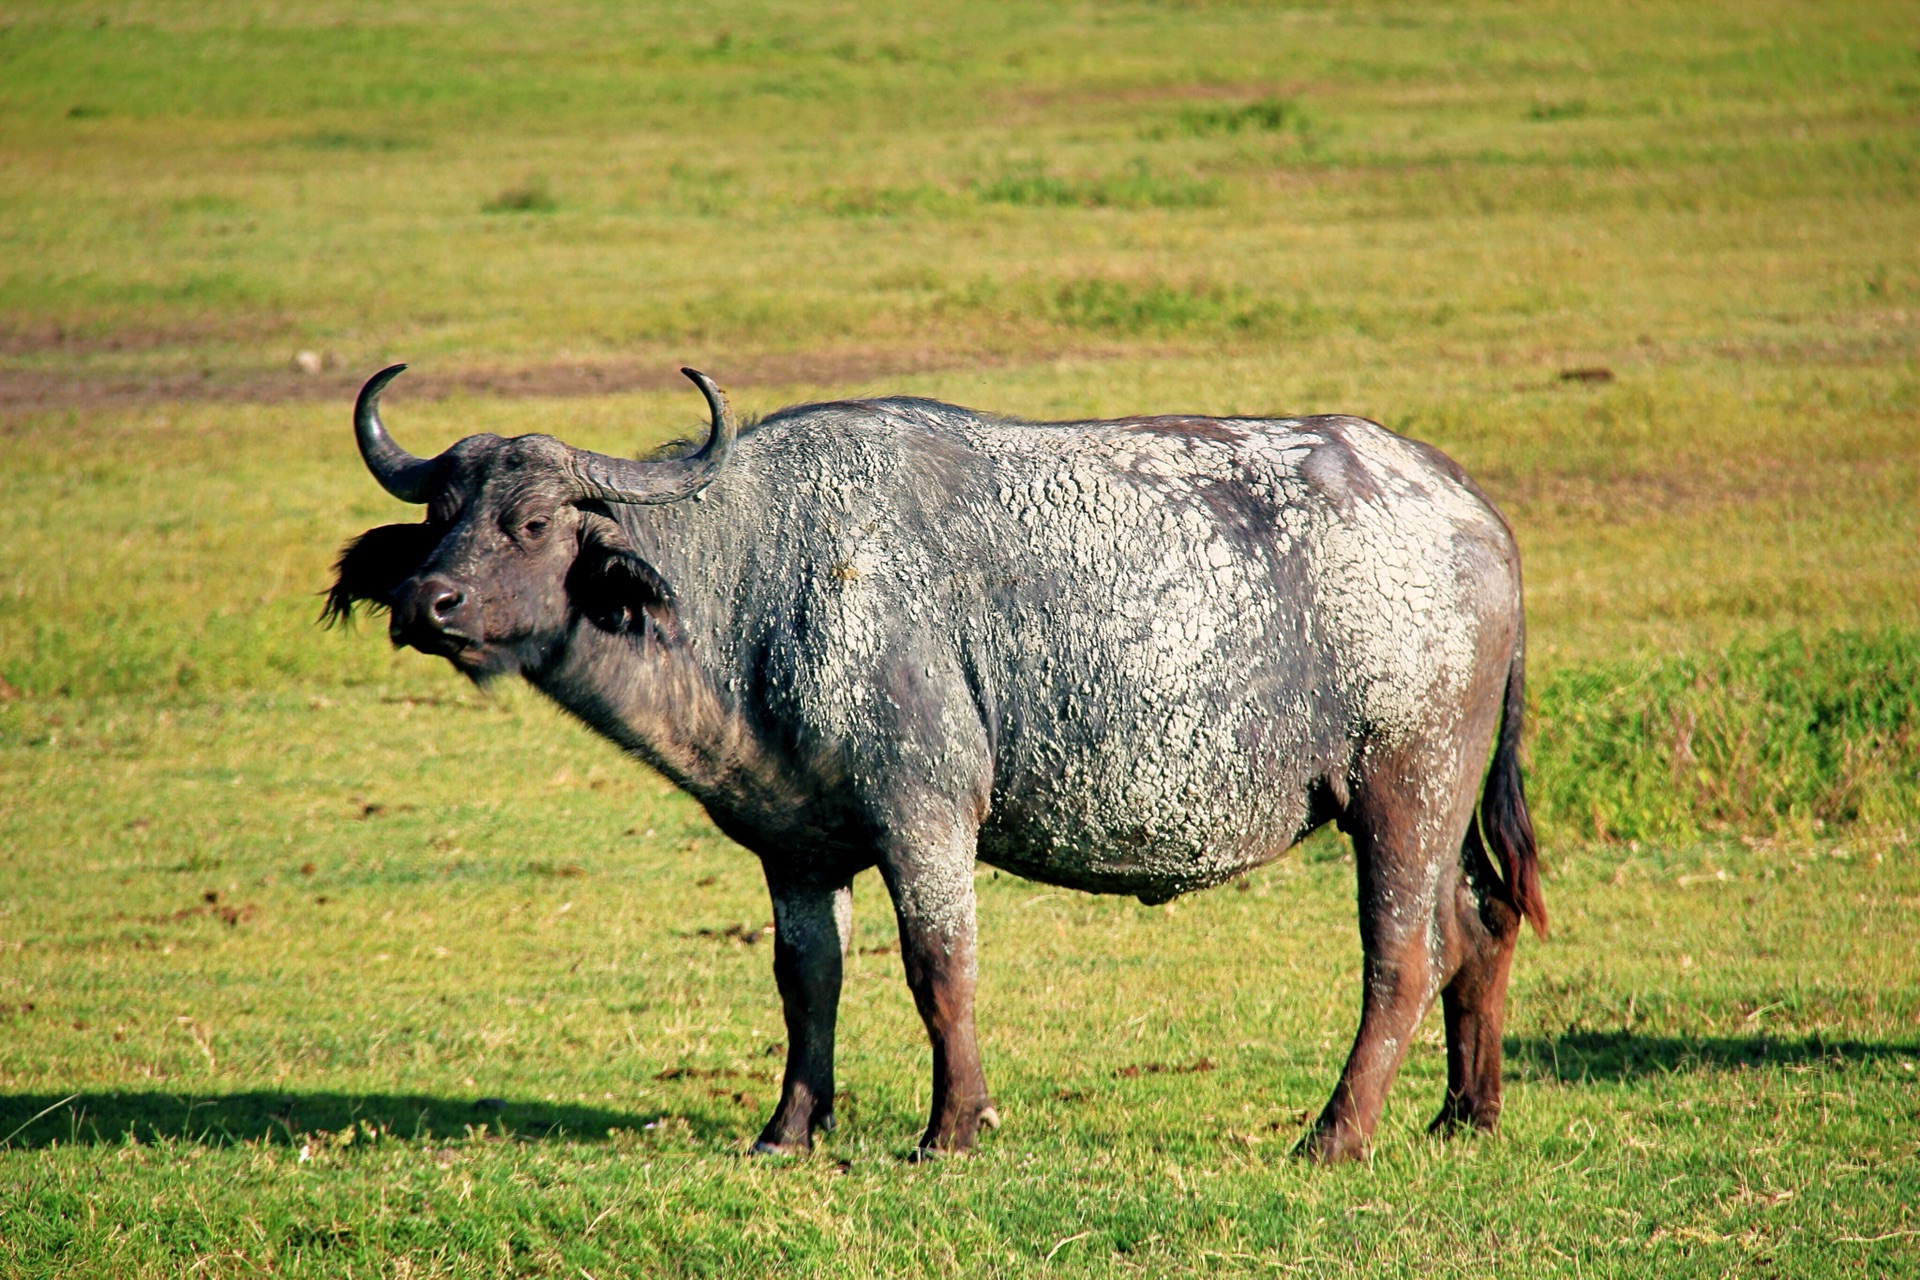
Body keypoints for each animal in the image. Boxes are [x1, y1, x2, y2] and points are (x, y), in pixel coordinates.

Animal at [318, 364, 1543, 1166]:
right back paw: (1463, 1114)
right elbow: (807, 980)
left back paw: (1335, 1134)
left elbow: (936, 965)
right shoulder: (794, 845)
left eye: (530, 524)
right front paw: (789, 1129)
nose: (427, 603)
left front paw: (954, 1125)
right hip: (1430, 804)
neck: (753, 582)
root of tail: (1472, 512)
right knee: (1478, 926)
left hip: (1403, 788)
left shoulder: (926, 811)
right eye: (439, 515)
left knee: (1402, 956)